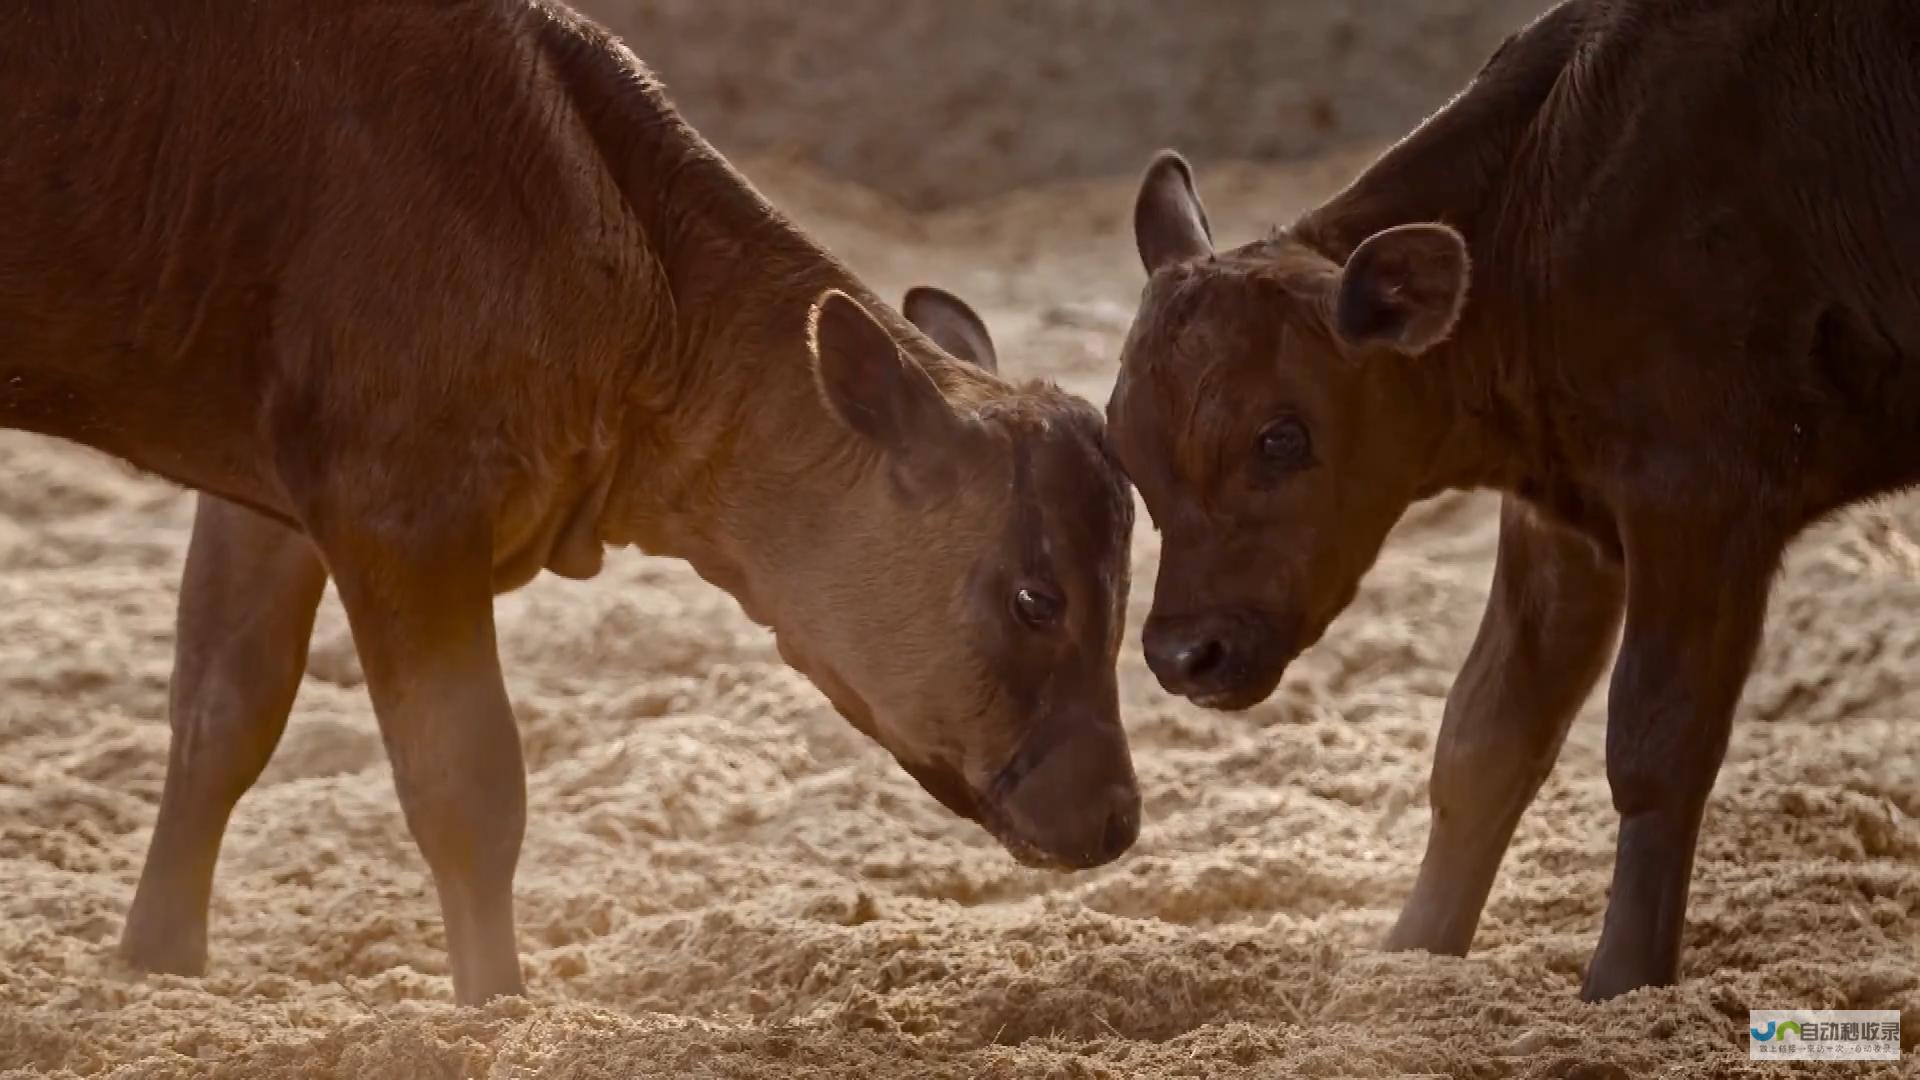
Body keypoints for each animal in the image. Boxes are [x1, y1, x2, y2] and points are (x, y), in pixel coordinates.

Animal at [3, 0, 1136, 999]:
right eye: (1036, 599)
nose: (1119, 817)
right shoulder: (400, 503)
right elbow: (467, 784)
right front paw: (497, 1003)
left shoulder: (269, 489)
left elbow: (221, 716)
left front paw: (158, 963)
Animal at [1105, 0, 1920, 999]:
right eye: (1125, 449)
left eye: (1280, 436)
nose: (1185, 655)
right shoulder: (1561, 512)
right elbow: (1485, 735)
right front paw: (1408, 954)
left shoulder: (1699, 492)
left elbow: (1655, 740)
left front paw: (1621, 984)